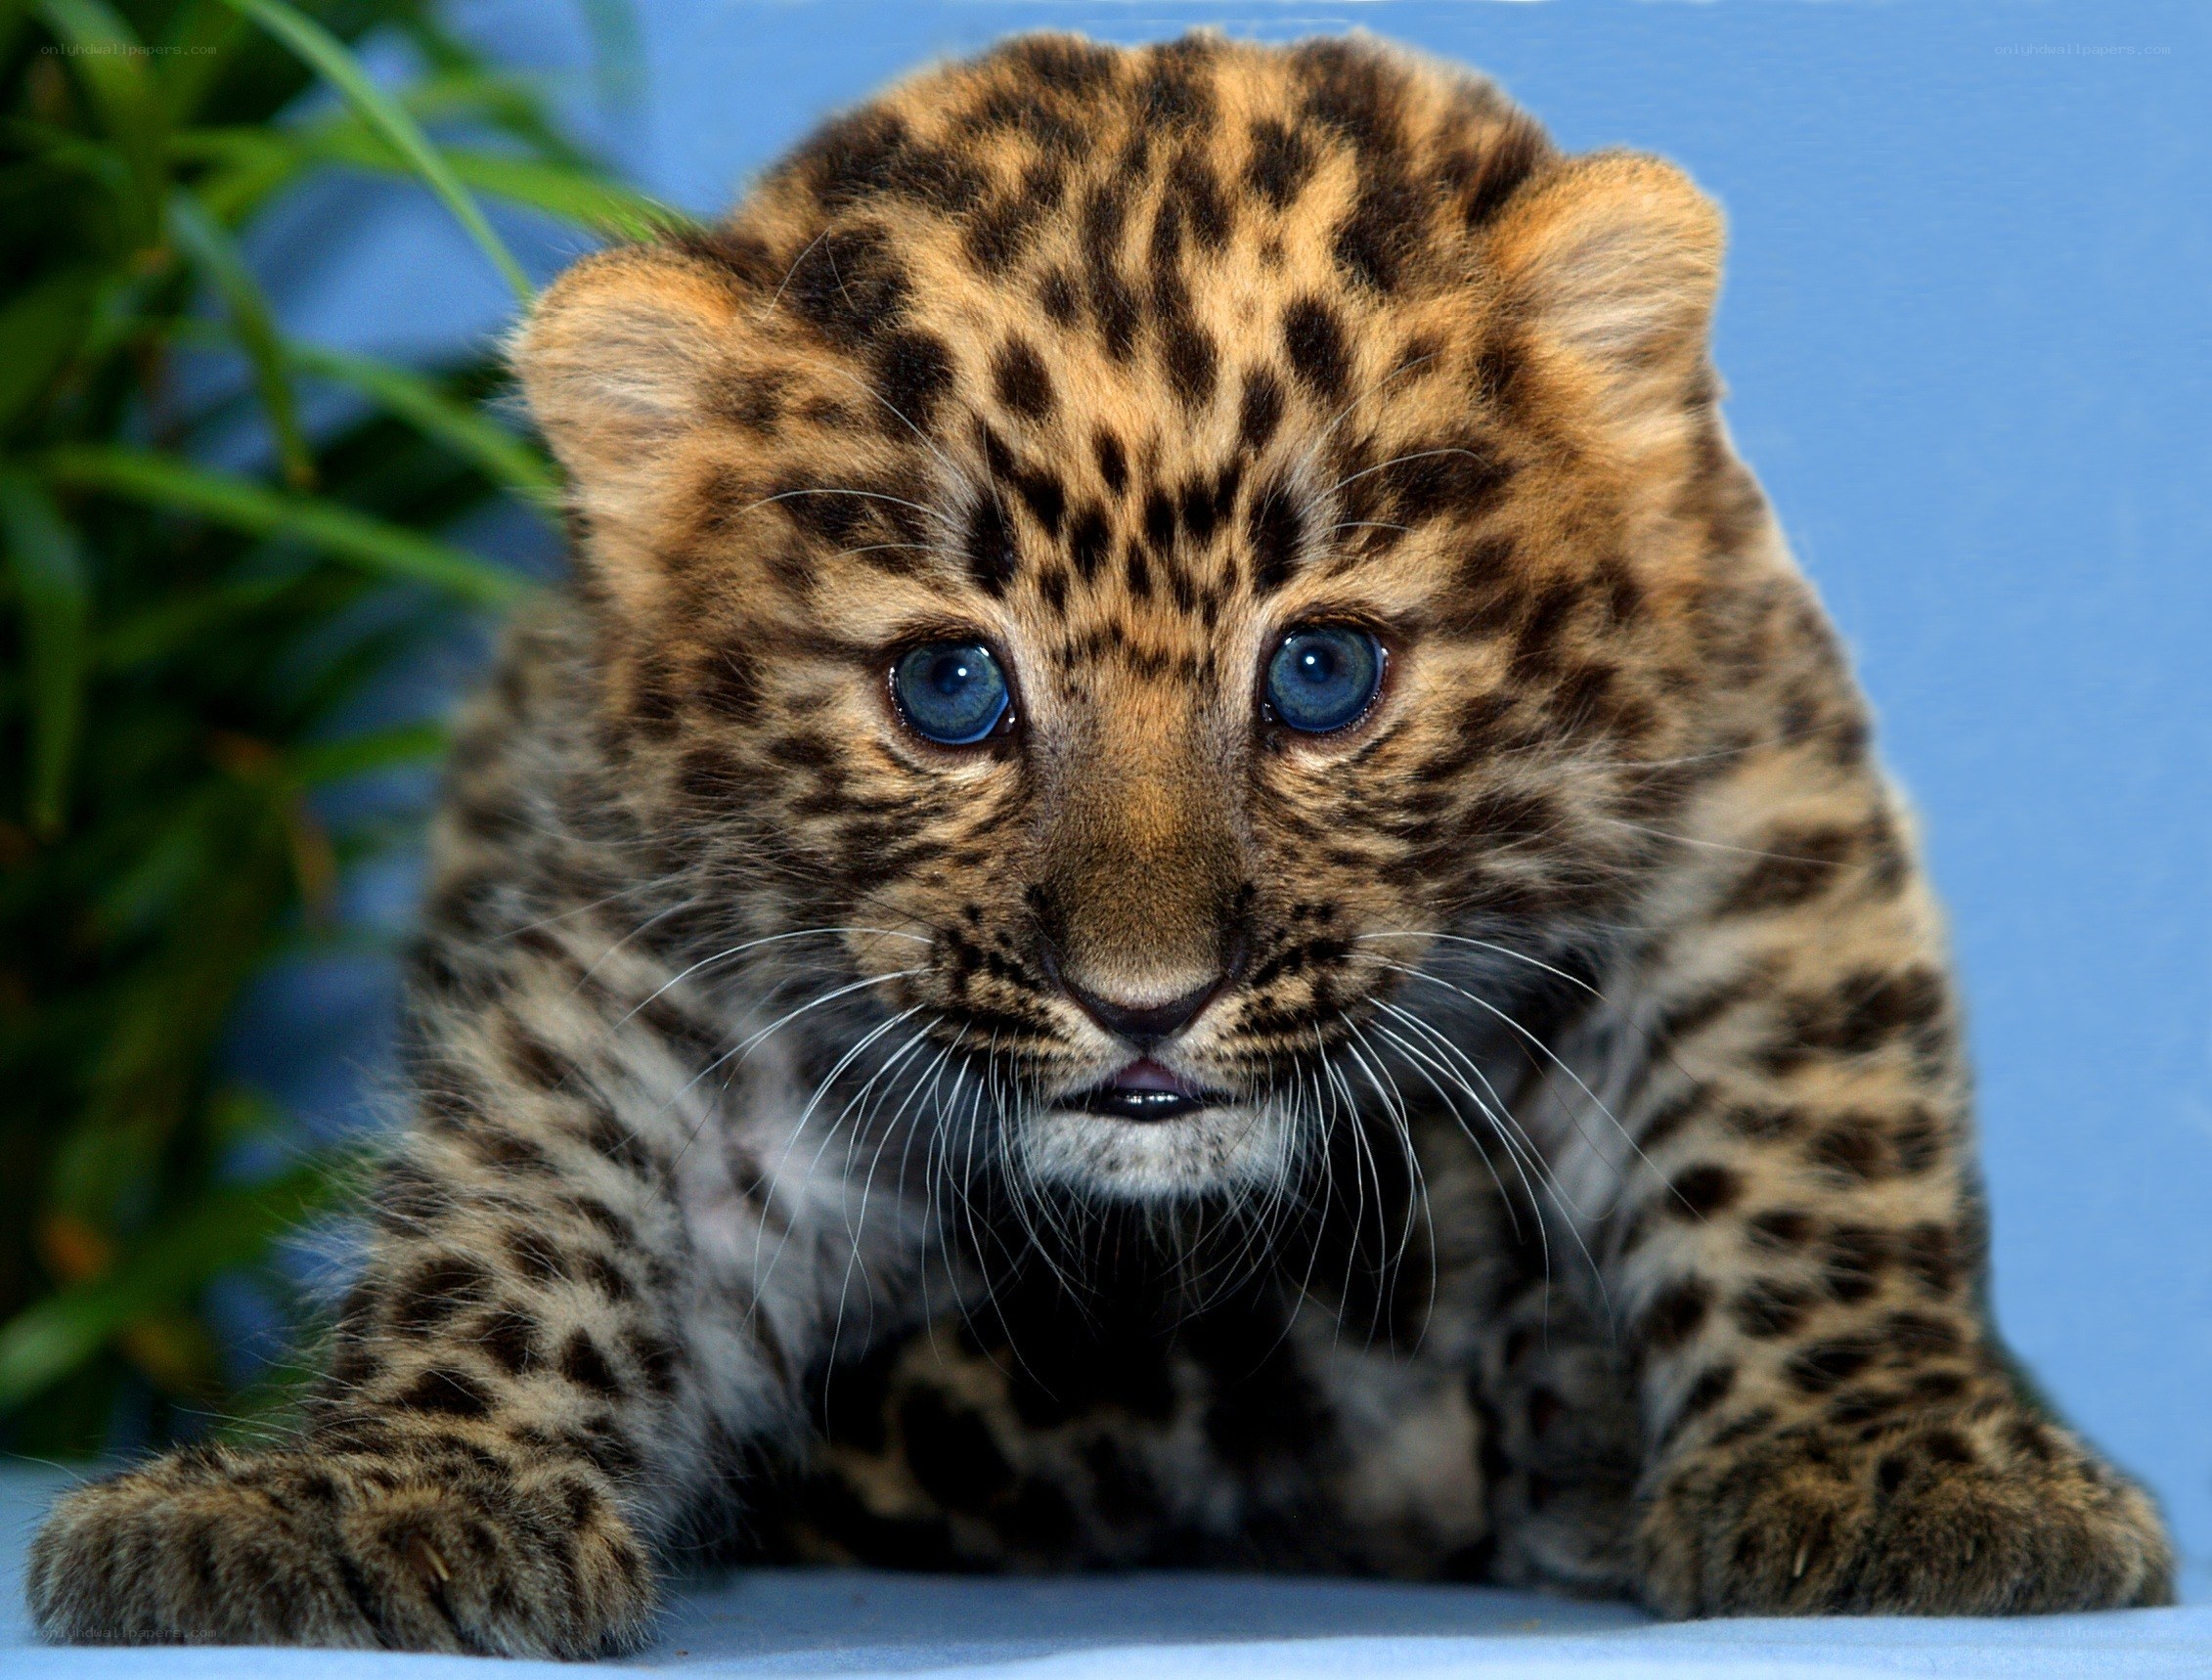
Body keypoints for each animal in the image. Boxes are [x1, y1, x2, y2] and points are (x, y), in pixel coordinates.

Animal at [27, 30, 2173, 1656]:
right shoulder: (686, 947)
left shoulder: (1731, 791)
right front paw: (359, 1495)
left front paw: (1892, 1464)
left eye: (1322, 671)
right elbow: (534, 1201)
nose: (1145, 1001)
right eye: (948, 690)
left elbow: (1795, 1118)